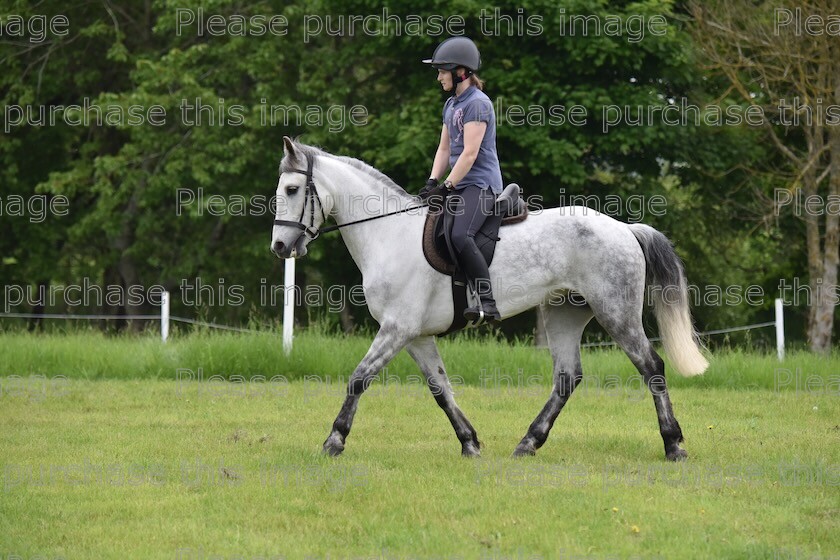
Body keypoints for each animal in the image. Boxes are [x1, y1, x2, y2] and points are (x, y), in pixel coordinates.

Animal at [270, 138, 708, 462]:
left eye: (292, 190)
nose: (280, 248)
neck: (388, 233)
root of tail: (624, 228)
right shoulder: (415, 336)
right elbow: (440, 389)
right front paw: (469, 442)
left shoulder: (397, 329)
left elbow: (360, 378)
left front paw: (334, 440)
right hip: (564, 312)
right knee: (567, 378)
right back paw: (528, 443)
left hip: (616, 312)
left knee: (651, 367)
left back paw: (673, 444)